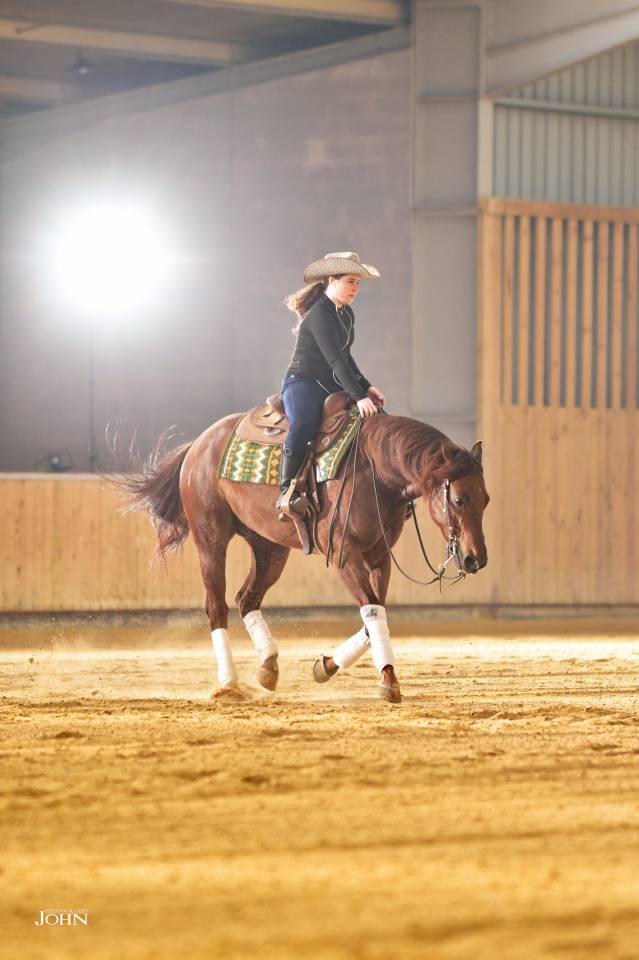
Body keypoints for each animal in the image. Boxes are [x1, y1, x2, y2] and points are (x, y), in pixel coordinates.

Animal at [121, 406, 489, 703]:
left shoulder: (379, 555)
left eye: (486, 499)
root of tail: (198, 444)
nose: (476, 559)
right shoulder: (345, 555)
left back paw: (268, 667)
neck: (373, 471)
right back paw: (228, 684)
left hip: (269, 547)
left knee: (246, 599)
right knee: (217, 605)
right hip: (210, 538)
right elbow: (372, 613)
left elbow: (375, 615)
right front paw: (388, 680)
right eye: (459, 499)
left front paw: (326, 666)